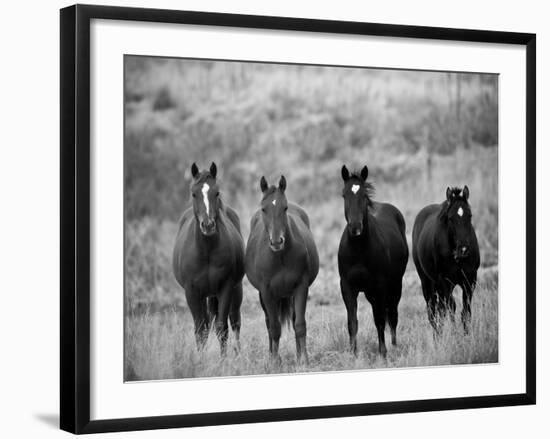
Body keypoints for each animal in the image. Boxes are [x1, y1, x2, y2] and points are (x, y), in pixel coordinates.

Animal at [172, 163, 246, 356]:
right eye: (194, 193)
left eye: (217, 192)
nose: (208, 225)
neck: (206, 252)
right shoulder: (191, 292)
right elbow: (200, 329)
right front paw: (201, 359)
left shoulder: (225, 288)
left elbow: (222, 328)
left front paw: (223, 360)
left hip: (235, 290)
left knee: (235, 322)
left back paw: (239, 353)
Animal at [246, 175, 320, 364]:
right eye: (264, 209)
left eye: (284, 207)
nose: (276, 241)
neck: (280, 257)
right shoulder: (266, 292)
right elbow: (274, 327)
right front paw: (274, 362)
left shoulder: (301, 287)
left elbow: (299, 324)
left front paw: (303, 360)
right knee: (269, 323)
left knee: (293, 321)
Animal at [338, 165, 412, 358]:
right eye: (344, 195)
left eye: (364, 195)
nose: (355, 227)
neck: (358, 251)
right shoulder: (347, 287)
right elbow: (352, 322)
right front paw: (353, 354)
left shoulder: (379, 286)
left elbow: (379, 320)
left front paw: (383, 353)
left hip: (395, 285)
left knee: (392, 315)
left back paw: (394, 346)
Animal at [412, 186, 480, 334]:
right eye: (451, 218)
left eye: (470, 215)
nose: (464, 249)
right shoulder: (444, 282)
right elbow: (449, 309)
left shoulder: (469, 280)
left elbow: (465, 313)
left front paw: (466, 336)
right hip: (427, 282)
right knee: (433, 312)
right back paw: (437, 336)